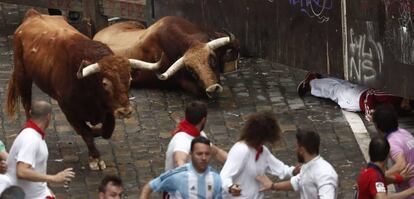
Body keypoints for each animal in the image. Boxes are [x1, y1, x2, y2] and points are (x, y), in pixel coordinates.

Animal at [6, 9, 157, 170]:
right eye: (105, 83)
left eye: (129, 80)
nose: (125, 111)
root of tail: (32, 14)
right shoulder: (68, 110)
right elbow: (85, 133)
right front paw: (95, 158)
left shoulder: (107, 109)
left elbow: (107, 130)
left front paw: (96, 132)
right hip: (23, 76)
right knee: (27, 103)